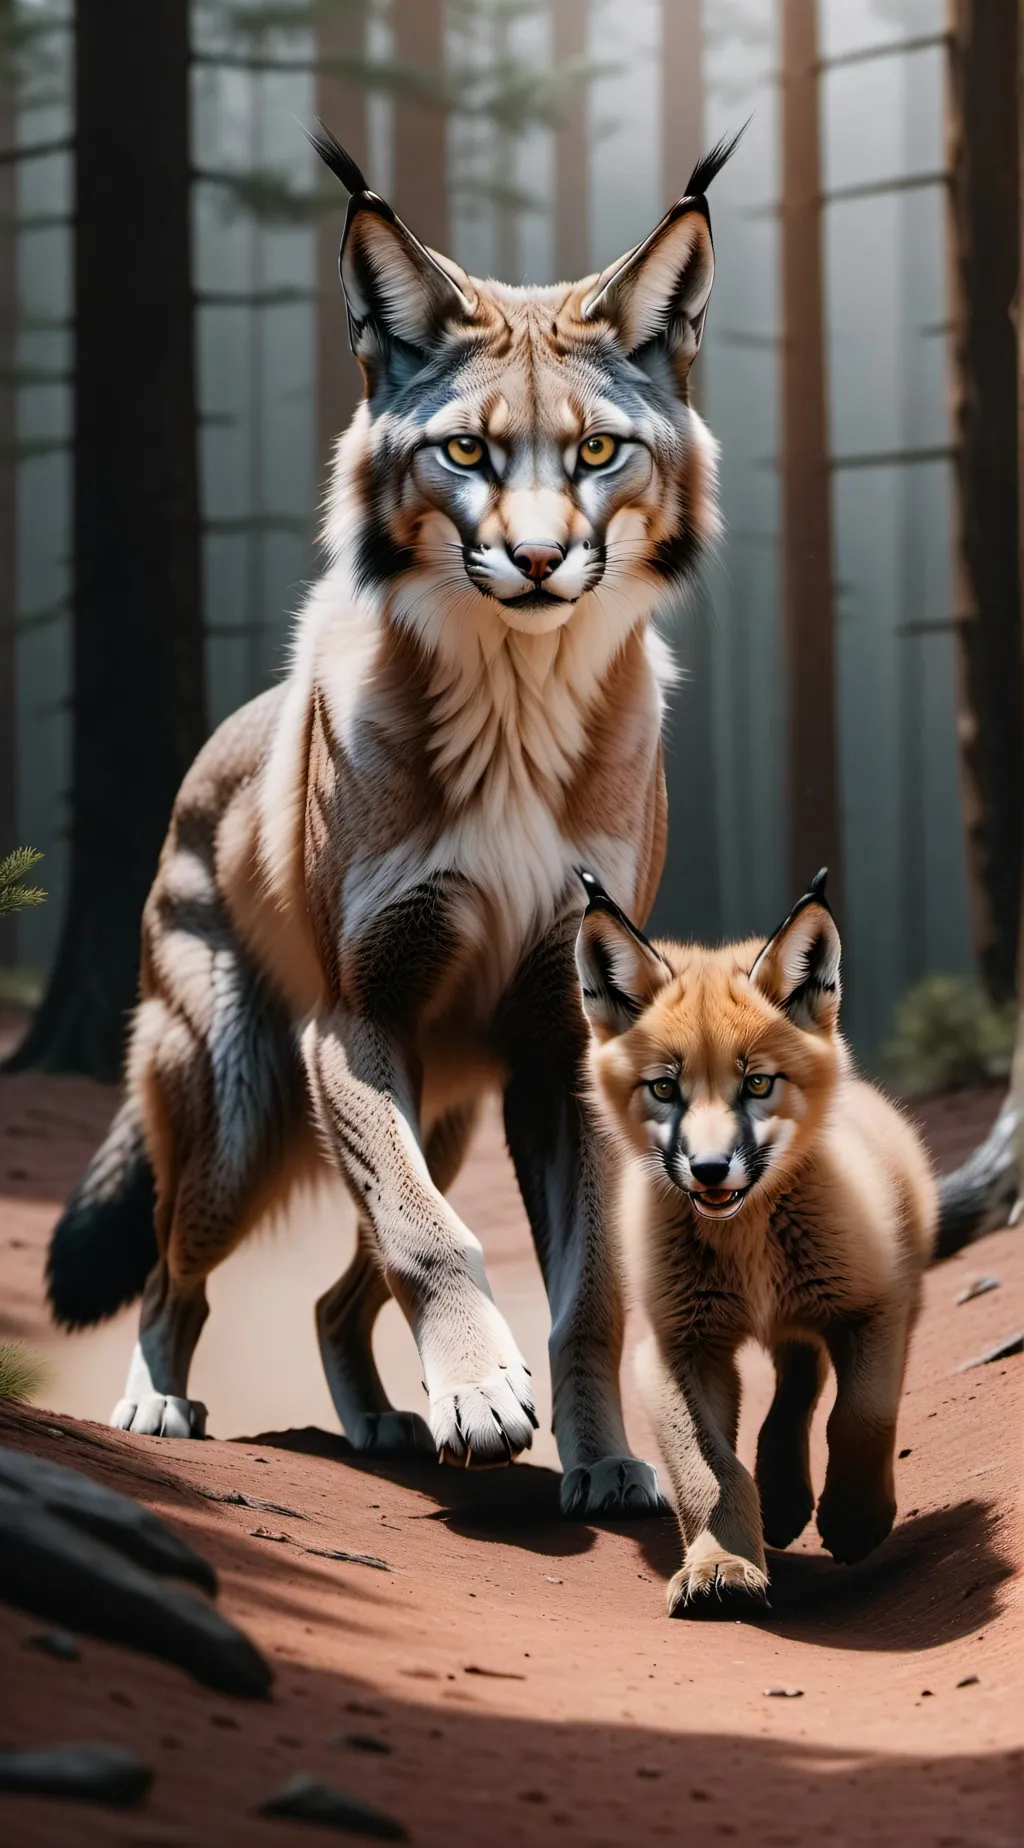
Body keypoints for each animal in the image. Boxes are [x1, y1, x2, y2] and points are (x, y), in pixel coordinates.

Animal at [44, 124, 744, 1518]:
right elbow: (431, 1236)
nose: (536, 562)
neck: (516, 714)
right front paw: (480, 1395)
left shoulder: (561, 1044)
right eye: (464, 454)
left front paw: (602, 1461)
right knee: (173, 1267)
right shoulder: (355, 1015)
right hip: (241, 1109)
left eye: (598, 453)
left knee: (331, 1294)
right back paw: (157, 1406)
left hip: (448, 1108)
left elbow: (585, 1295)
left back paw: (376, 1421)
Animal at [575, 867, 944, 1606]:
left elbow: (861, 1416)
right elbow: (709, 1471)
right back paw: (782, 1497)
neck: (747, 1246)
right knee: (796, 1382)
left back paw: (800, 1499)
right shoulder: (676, 1347)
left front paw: (857, 1520)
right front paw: (722, 1563)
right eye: (664, 1089)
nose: (711, 1169)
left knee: (808, 1385)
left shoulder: (876, 1308)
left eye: (758, 1083)